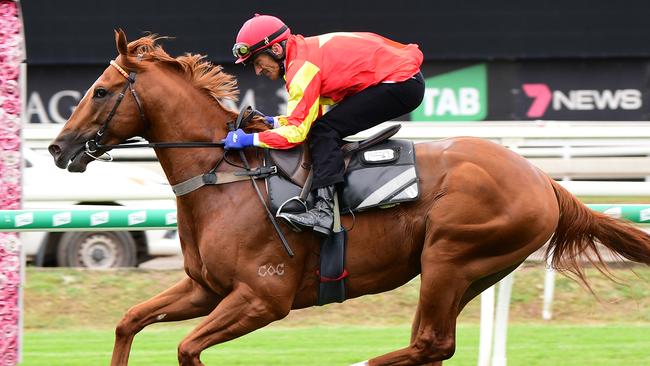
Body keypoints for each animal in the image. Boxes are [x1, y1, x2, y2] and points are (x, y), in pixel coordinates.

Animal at [46, 31, 648, 366]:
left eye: (101, 91)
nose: (57, 147)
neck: (226, 179)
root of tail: (544, 180)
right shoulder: (205, 288)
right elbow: (128, 321)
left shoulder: (263, 298)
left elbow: (187, 348)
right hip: (473, 271)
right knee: (434, 347)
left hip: (451, 256)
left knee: (430, 344)